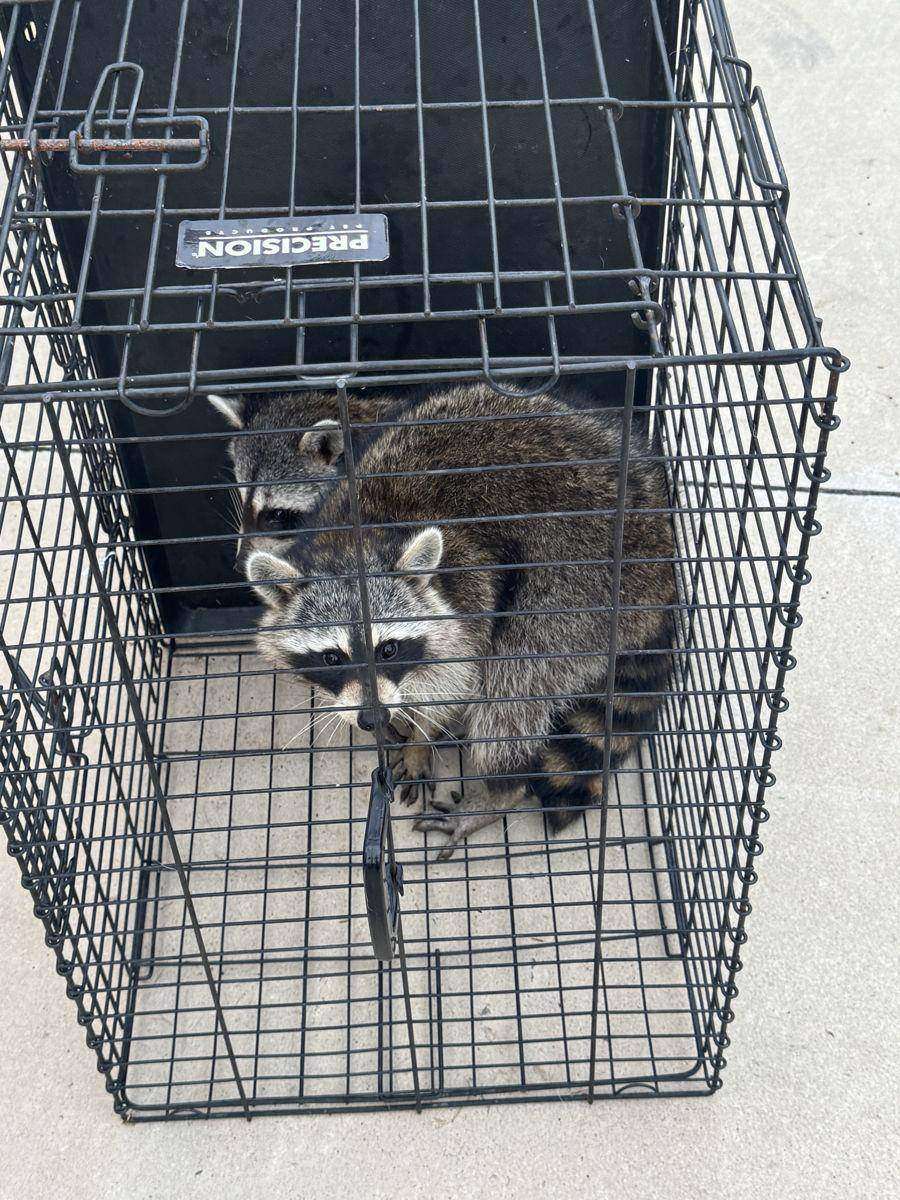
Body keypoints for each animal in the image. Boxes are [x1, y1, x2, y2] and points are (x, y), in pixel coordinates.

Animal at [247, 382, 676, 858]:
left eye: (388, 648)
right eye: (332, 658)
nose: (373, 718)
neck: (354, 541)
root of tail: (666, 558)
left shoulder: (471, 576)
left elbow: (462, 676)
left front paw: (423, 730)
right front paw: (402, 721)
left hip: (589, 579)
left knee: (516, 681)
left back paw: (501, 789)